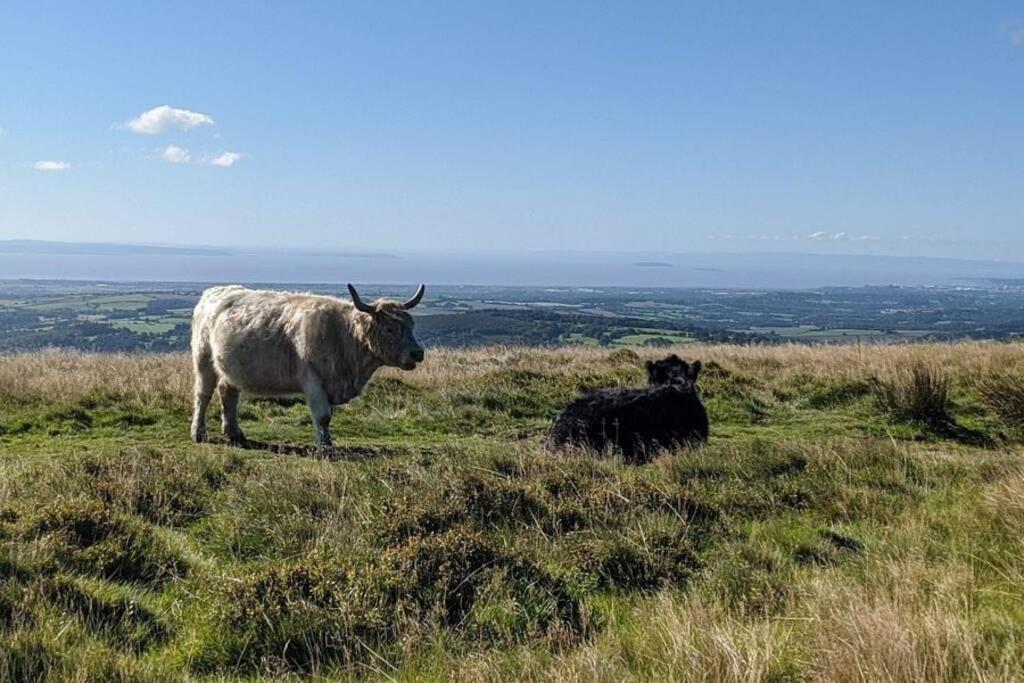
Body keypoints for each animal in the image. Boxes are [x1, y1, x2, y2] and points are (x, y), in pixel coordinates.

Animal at [191, 282, 423, 448]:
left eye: (411, 325)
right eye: (390, 329)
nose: (418, 353)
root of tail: (213, 292)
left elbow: (327, 417)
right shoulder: (313, 380)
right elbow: (323, 417)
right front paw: (325, 446)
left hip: (230, 368)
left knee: (227, 393)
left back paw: (235, 433)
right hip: (203, 359)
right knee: (203, 396)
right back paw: (198, 432)